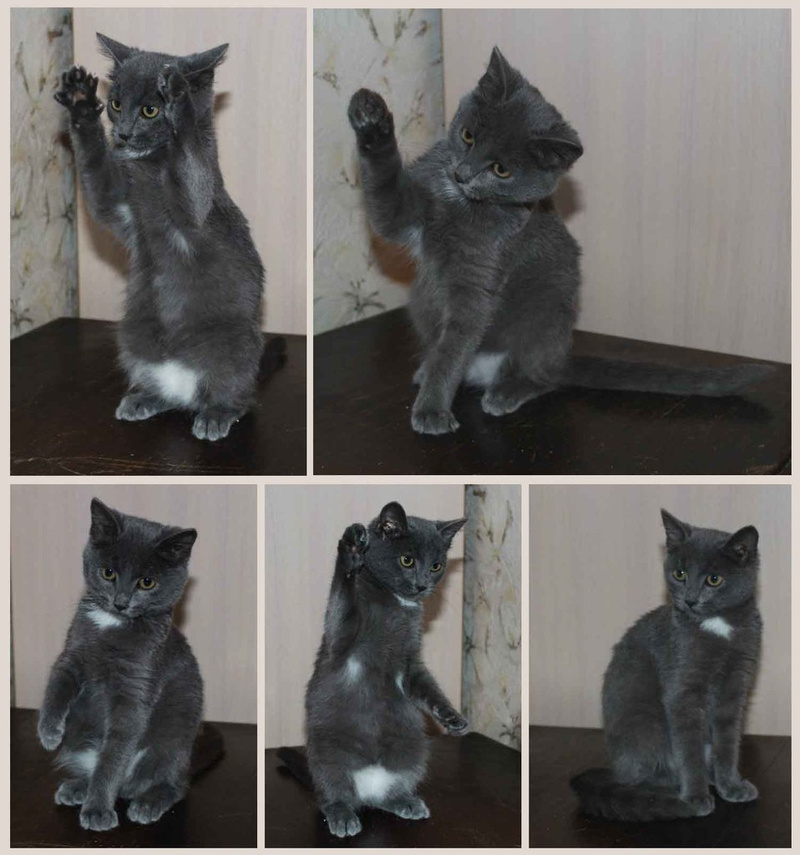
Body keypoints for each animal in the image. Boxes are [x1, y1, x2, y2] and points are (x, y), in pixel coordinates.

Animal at [37, 498, 211, 831]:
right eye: (108, 573)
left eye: (147, 582)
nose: (120, 602)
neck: (112, 624)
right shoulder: (73, 652)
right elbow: (57, 683)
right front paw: (49, 731)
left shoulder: (136, 687)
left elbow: (115, 754)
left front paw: (98, 810)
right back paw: (77, 787)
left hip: (172, 742)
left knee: (174, 785)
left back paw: (147, 802)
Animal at [54, 34, 265, 441]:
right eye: (116, 105)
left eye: (150, 111)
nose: (122, 133)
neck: (150, 170)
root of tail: (187, 391)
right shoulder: (122, 209)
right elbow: (96, 175)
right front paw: (80, 103)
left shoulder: (199, 202)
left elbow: (189, 163)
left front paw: (179, 98)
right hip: (135, 333)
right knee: (163, 388)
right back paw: (144, 398)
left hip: (234, 343)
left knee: (238, 394)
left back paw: (215, 415)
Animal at [279, 501, 468, 838]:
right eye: (407, 560)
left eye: (436, 566)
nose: (422, 585)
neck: (397, 602)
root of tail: (364, 794)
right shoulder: (340, 637)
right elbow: (342, 595)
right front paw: (351, 550)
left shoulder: (409, 664)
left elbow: (427, 688)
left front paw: (452, 718)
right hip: (326, 755)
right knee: (330, 794)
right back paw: (341, 815)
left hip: (413, 750)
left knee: (387, 794)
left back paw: (404, 801)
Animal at [347, 47, 773, 435]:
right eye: (468, 135)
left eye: (501, 170)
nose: (462, 174)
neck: (461, 203)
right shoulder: (408, 212)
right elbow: (384, 203)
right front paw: (372, 121)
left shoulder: (479, 279)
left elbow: (456, 343)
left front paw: (432, 411)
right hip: (422, 303)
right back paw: (426, 368)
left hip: (547, 316)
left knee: (545, 378)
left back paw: (506, 391)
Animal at [570, 509, 762, 821]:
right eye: (679, 574)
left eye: (714, 579)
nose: (690, 600)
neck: (717, 626)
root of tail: (614, 768)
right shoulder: (682, 690)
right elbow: (689, 749)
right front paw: (695, 797)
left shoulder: (736, 686)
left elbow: (728, 743)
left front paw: (731, 785)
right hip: (646, 724)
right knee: (638, 777)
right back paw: (668, 792)